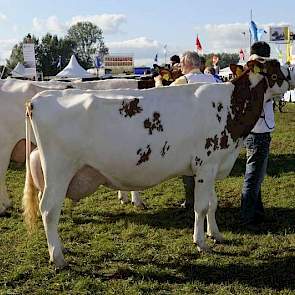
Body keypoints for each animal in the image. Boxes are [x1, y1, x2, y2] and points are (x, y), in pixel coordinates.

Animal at [24, 58, 294, 268]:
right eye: (275, 69)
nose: (292, 76)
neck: (229, 107)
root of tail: (39, 98)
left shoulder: (213, 165)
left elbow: (213, 204)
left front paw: (215, 233)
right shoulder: (205, 165)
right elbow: (201, 207)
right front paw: (200, 242)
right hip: (59, 171)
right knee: (48, 209)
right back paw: (58, 257)